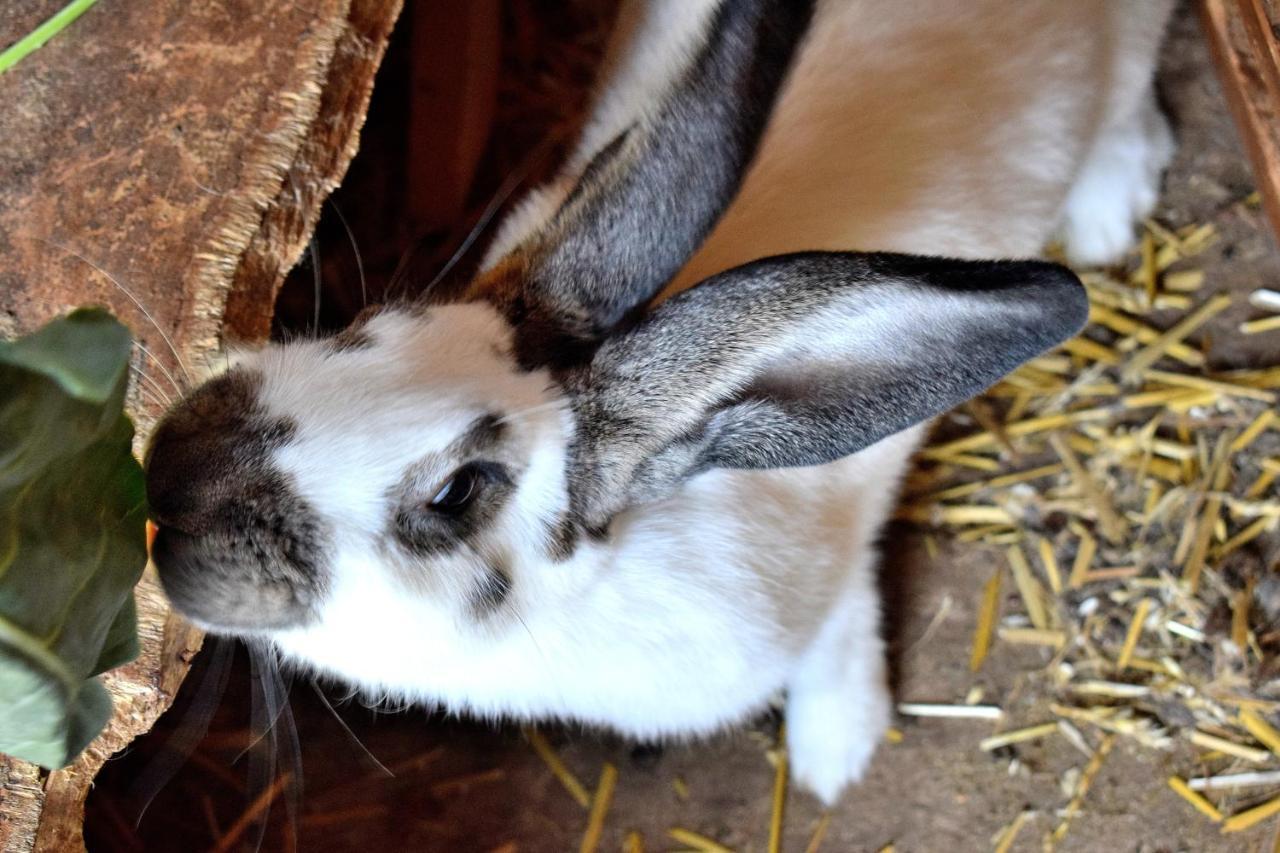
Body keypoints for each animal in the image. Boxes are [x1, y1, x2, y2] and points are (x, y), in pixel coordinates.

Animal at [145, 0, 1172, 799]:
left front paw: (839, 752)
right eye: (368, 326)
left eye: (456, 491)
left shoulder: (824, 570)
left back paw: (1107, 214)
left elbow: (843, 621)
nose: (171, 479)